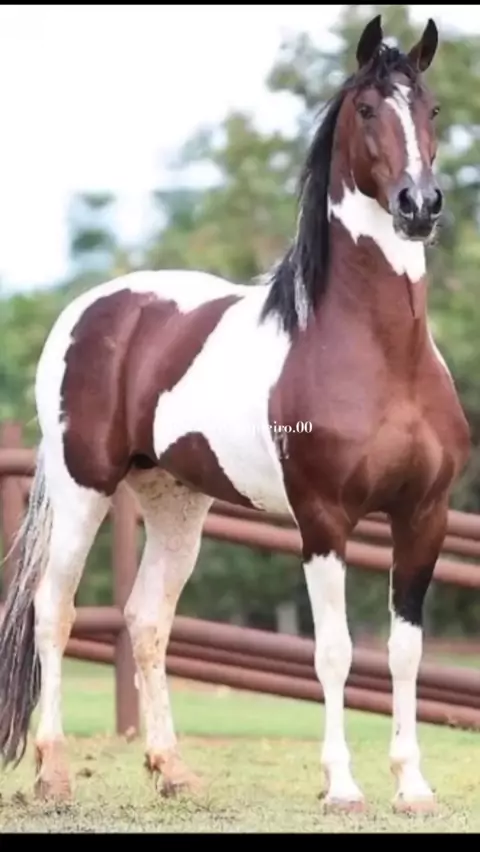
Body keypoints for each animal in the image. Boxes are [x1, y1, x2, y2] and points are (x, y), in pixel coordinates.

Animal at [0, 16, 470, 814]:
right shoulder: (324, 521)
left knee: (146, 620)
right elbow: (335, 651)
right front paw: (342, 786)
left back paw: (172, 769)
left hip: (176, 503)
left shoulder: (423, 516)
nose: (419, 205)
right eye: (367, 109)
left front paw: (412, 786)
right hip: (82, 487)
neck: (380, 354)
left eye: (431, 108)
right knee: (53, 609)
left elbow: (404, 650)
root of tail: (91, 306)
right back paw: (54, 773)